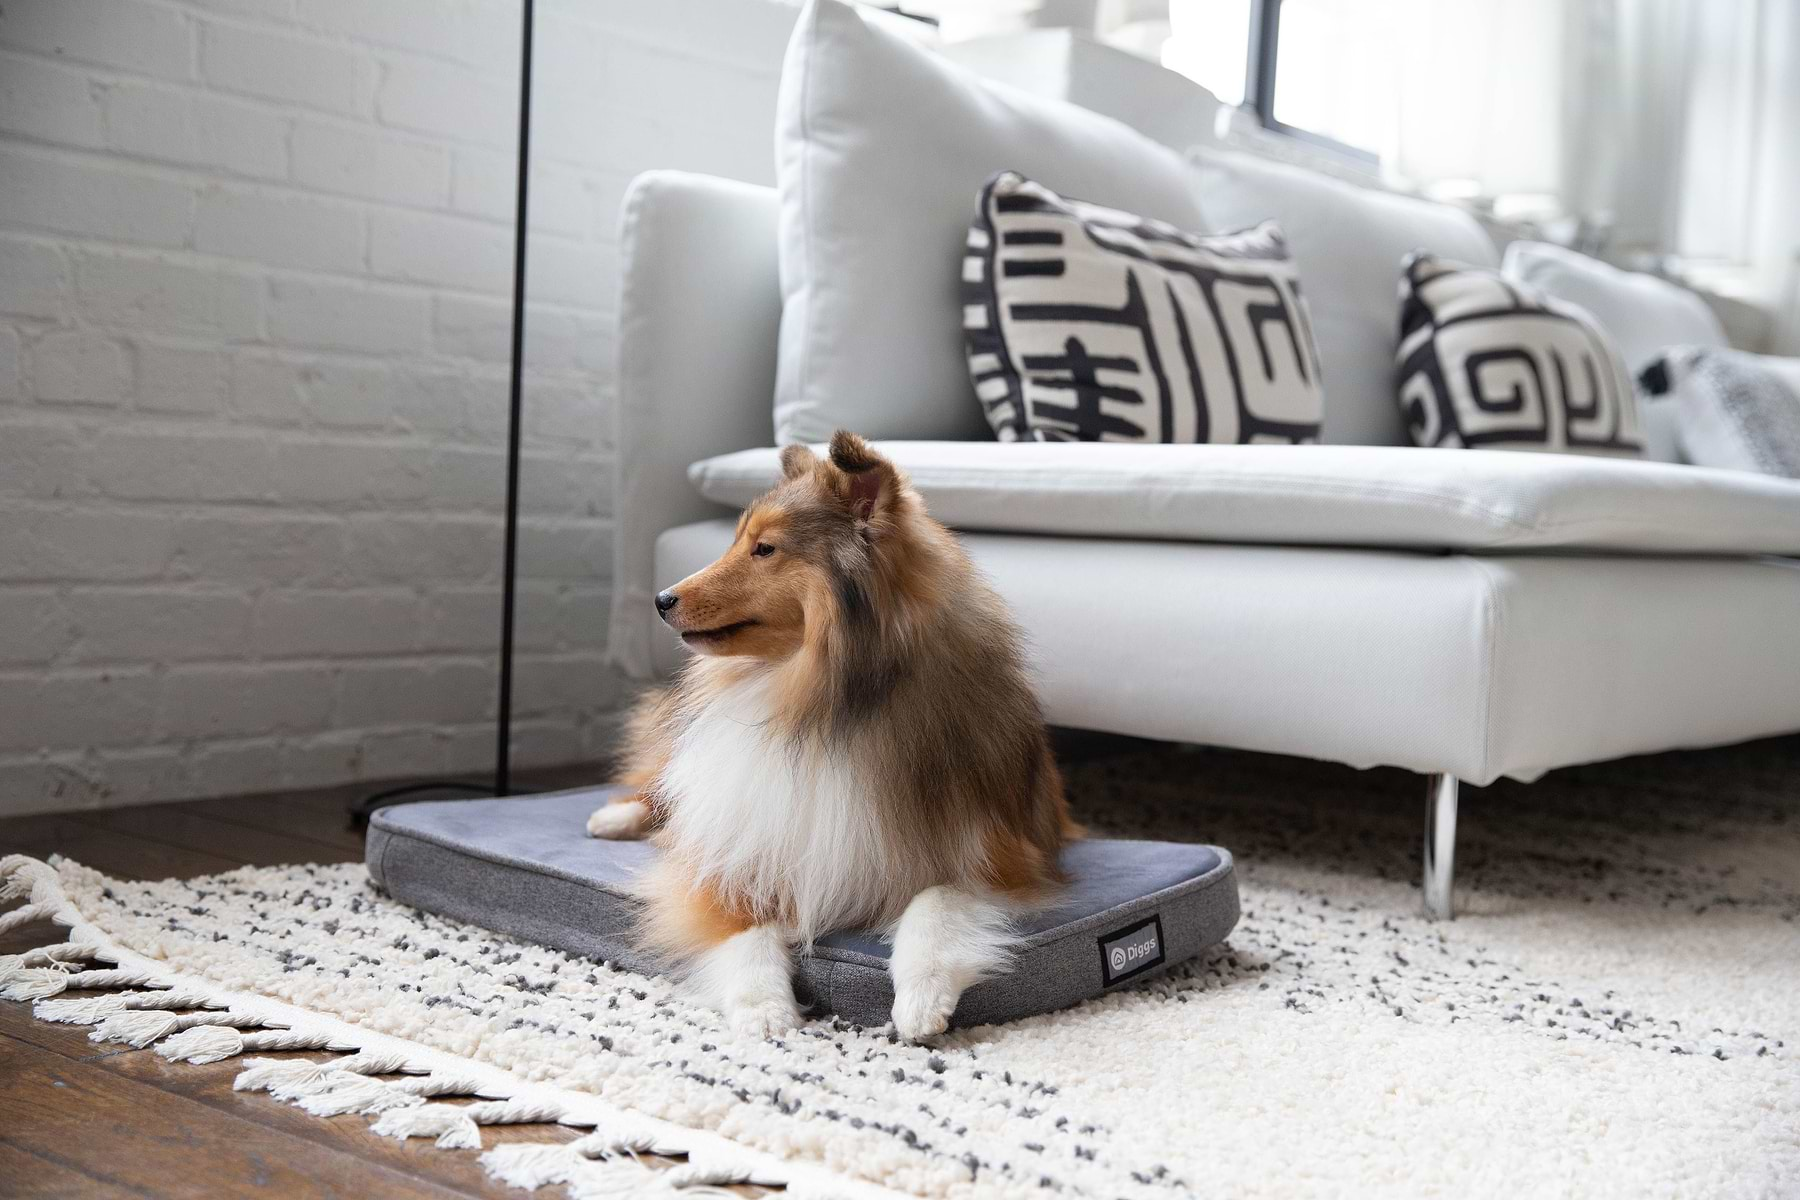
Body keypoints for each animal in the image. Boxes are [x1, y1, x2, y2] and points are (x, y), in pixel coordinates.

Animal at [590, 431, 1072, 1043]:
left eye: (764, 549)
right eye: (738, 540)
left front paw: (922, 998)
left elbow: (936, 901)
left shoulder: (995, 851)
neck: (824, 706)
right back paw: (614, 818)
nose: (661, 599)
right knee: (658, 790)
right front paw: (763, 1008)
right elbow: (743, 929)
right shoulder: (733, 852)